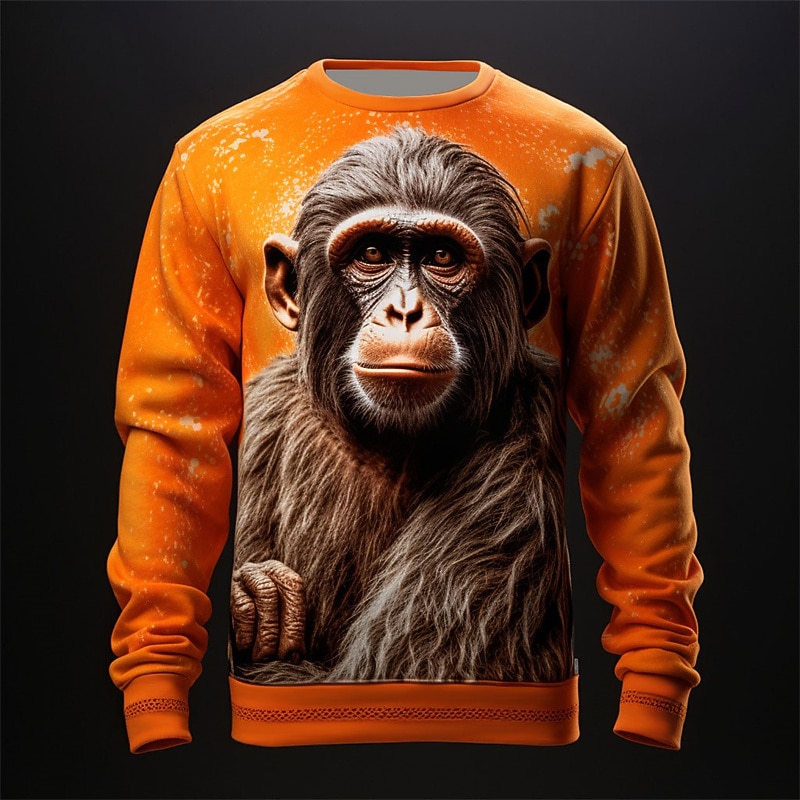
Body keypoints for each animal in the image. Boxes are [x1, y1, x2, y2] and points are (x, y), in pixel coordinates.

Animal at [229, 124, 573, 686]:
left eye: (442, 258)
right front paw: (253, 596)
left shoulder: (521, 482)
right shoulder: (263, 406)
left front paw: (256, 603)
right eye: (373, 253)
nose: (406, 310)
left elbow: (380, 670)